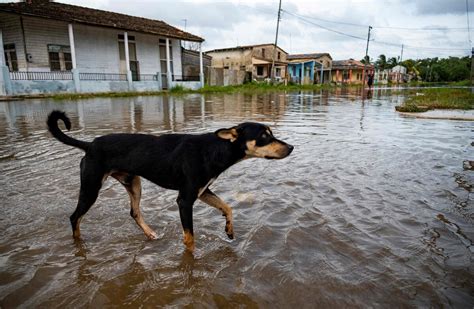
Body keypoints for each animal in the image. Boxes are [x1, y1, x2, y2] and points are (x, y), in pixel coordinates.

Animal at [47, 110, 292, 250]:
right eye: (264, 136)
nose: (290, 147)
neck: (214, 149)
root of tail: (89, 145)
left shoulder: (202, 192)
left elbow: (227, 207)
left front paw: (229, 230)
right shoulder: (185, 200)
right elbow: (190, 238)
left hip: (133, 183)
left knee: (134, 212)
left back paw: (150, 234)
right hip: (91, 187)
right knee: (74, 217)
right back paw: (78, 244)